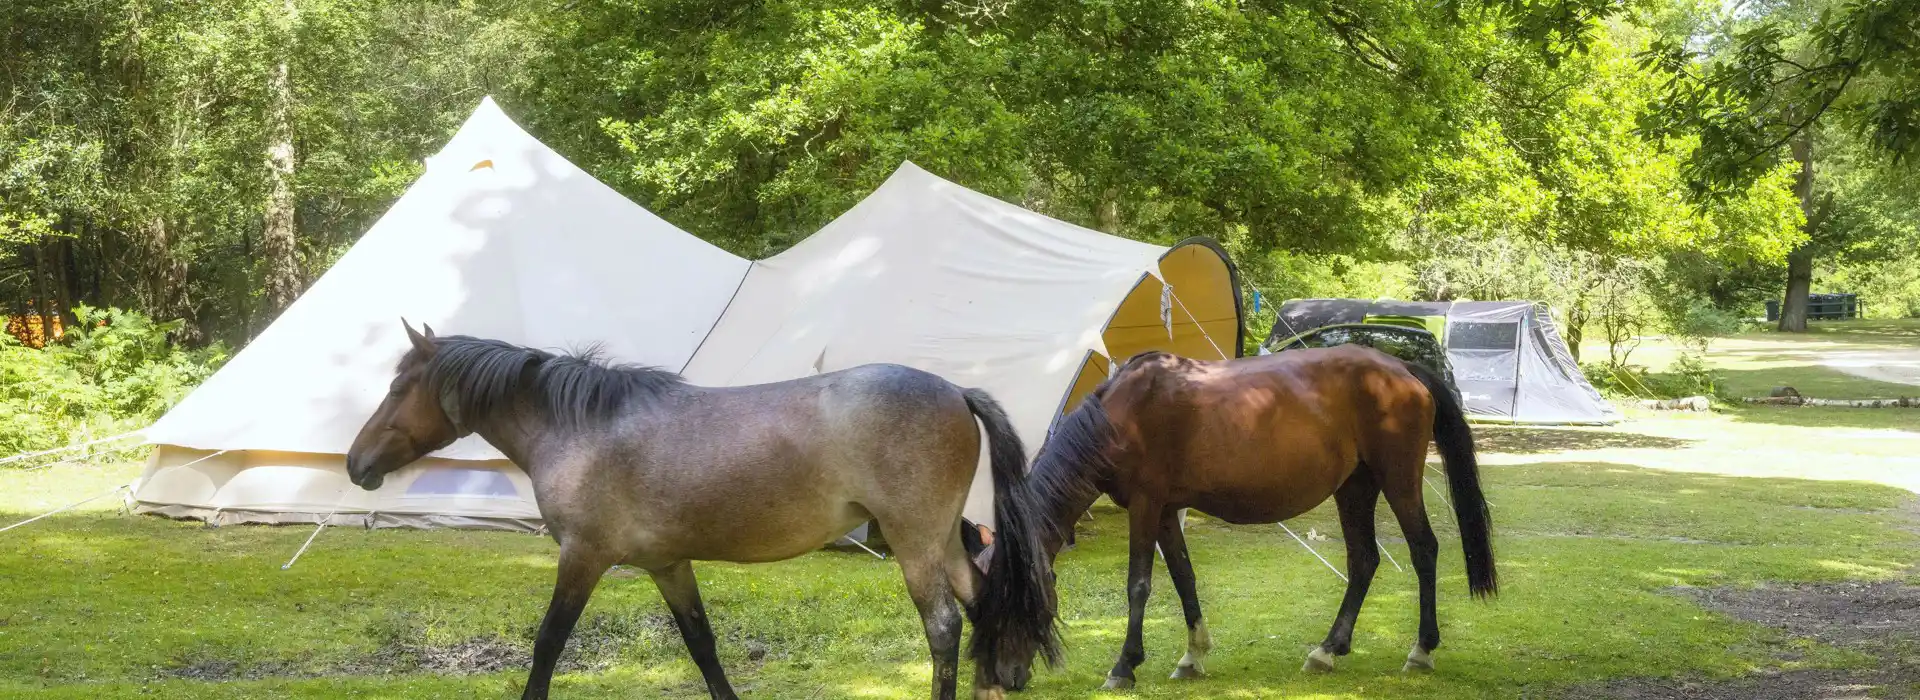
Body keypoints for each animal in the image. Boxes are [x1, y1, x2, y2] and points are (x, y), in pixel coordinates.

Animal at [347, 318, 1067, 694]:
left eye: (398, 387)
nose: (356, 464)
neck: (583, 426)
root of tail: (955, 390)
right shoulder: (669, 566)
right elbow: (702, 645)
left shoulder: (583, 558)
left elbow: (548, 643)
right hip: (942, 541)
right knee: (982, 604)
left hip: (915, 543)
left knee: (943, 625)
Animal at [990, 343, 1497, 686]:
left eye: (1019, 601)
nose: (1005, 676)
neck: (1123, 413)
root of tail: (1402, 369)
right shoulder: (1167, 510)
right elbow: (1184, 578)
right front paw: (1192, 656)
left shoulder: (1146, 505)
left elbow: (1139, 585)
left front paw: (1124, 666)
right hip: (1355, 488)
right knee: (1363, 561)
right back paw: (1328, 650)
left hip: (1398, 480)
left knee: (1423, 550)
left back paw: (1421, 650)